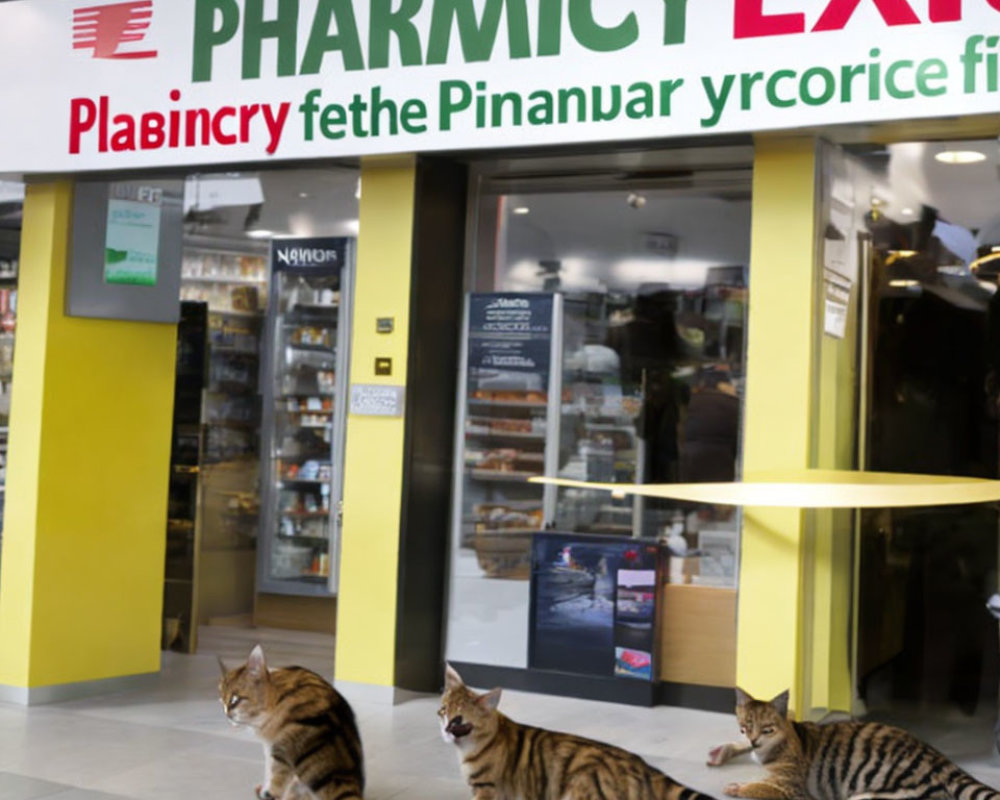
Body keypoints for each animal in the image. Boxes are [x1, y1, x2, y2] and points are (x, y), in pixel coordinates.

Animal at [217, 644, 366, 800]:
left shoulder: (276, 749)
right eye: (222, 701)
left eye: (235, 700)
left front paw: (265, 791)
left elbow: (272, 780)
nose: (226, 714)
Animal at [708, 684, 996, 800]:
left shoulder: (790, 788)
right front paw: (725, 751)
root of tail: (941, 760)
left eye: (766, 728)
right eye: (746, 726)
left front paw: (737, 787)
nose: (754, 740)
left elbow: (758, 787)